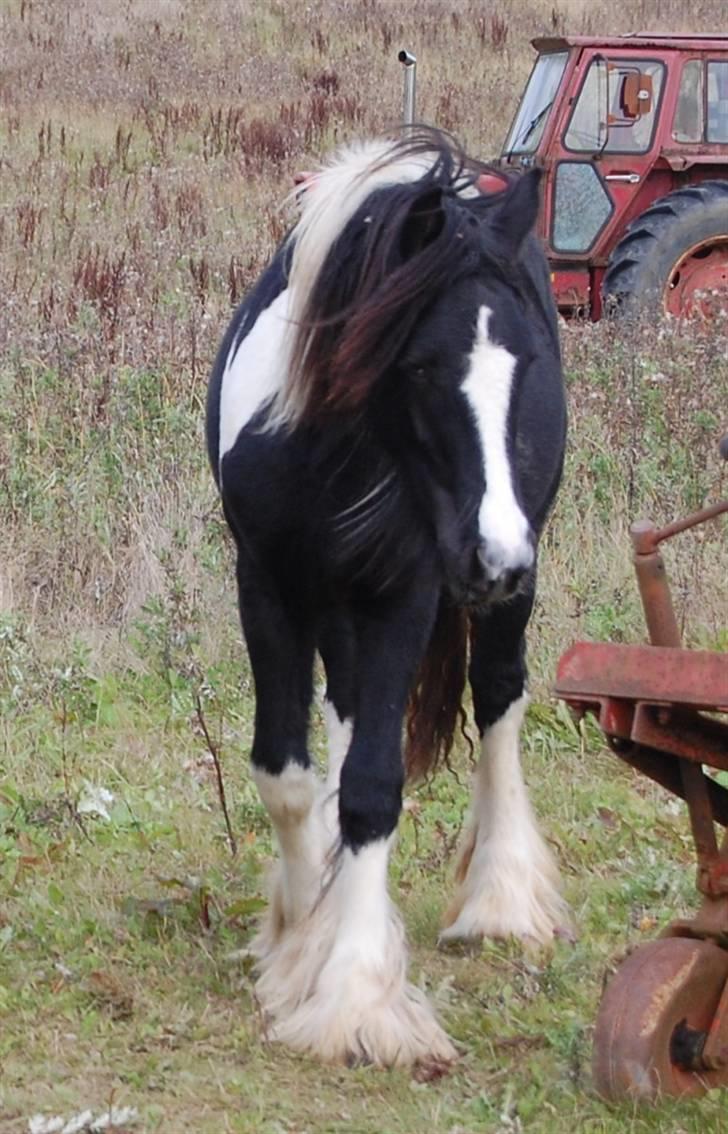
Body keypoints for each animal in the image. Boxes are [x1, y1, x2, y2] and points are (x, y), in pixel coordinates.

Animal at [205, 128, 566, 1065]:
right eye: (424, 364)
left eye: (527, 360)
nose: (495, 555)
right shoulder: (266, 582)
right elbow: (287, 773)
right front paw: (303, 940)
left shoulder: (407, 590)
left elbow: (375, 783)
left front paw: (355, 995)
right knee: (342, 707)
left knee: (498, 696)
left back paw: (501, 899)